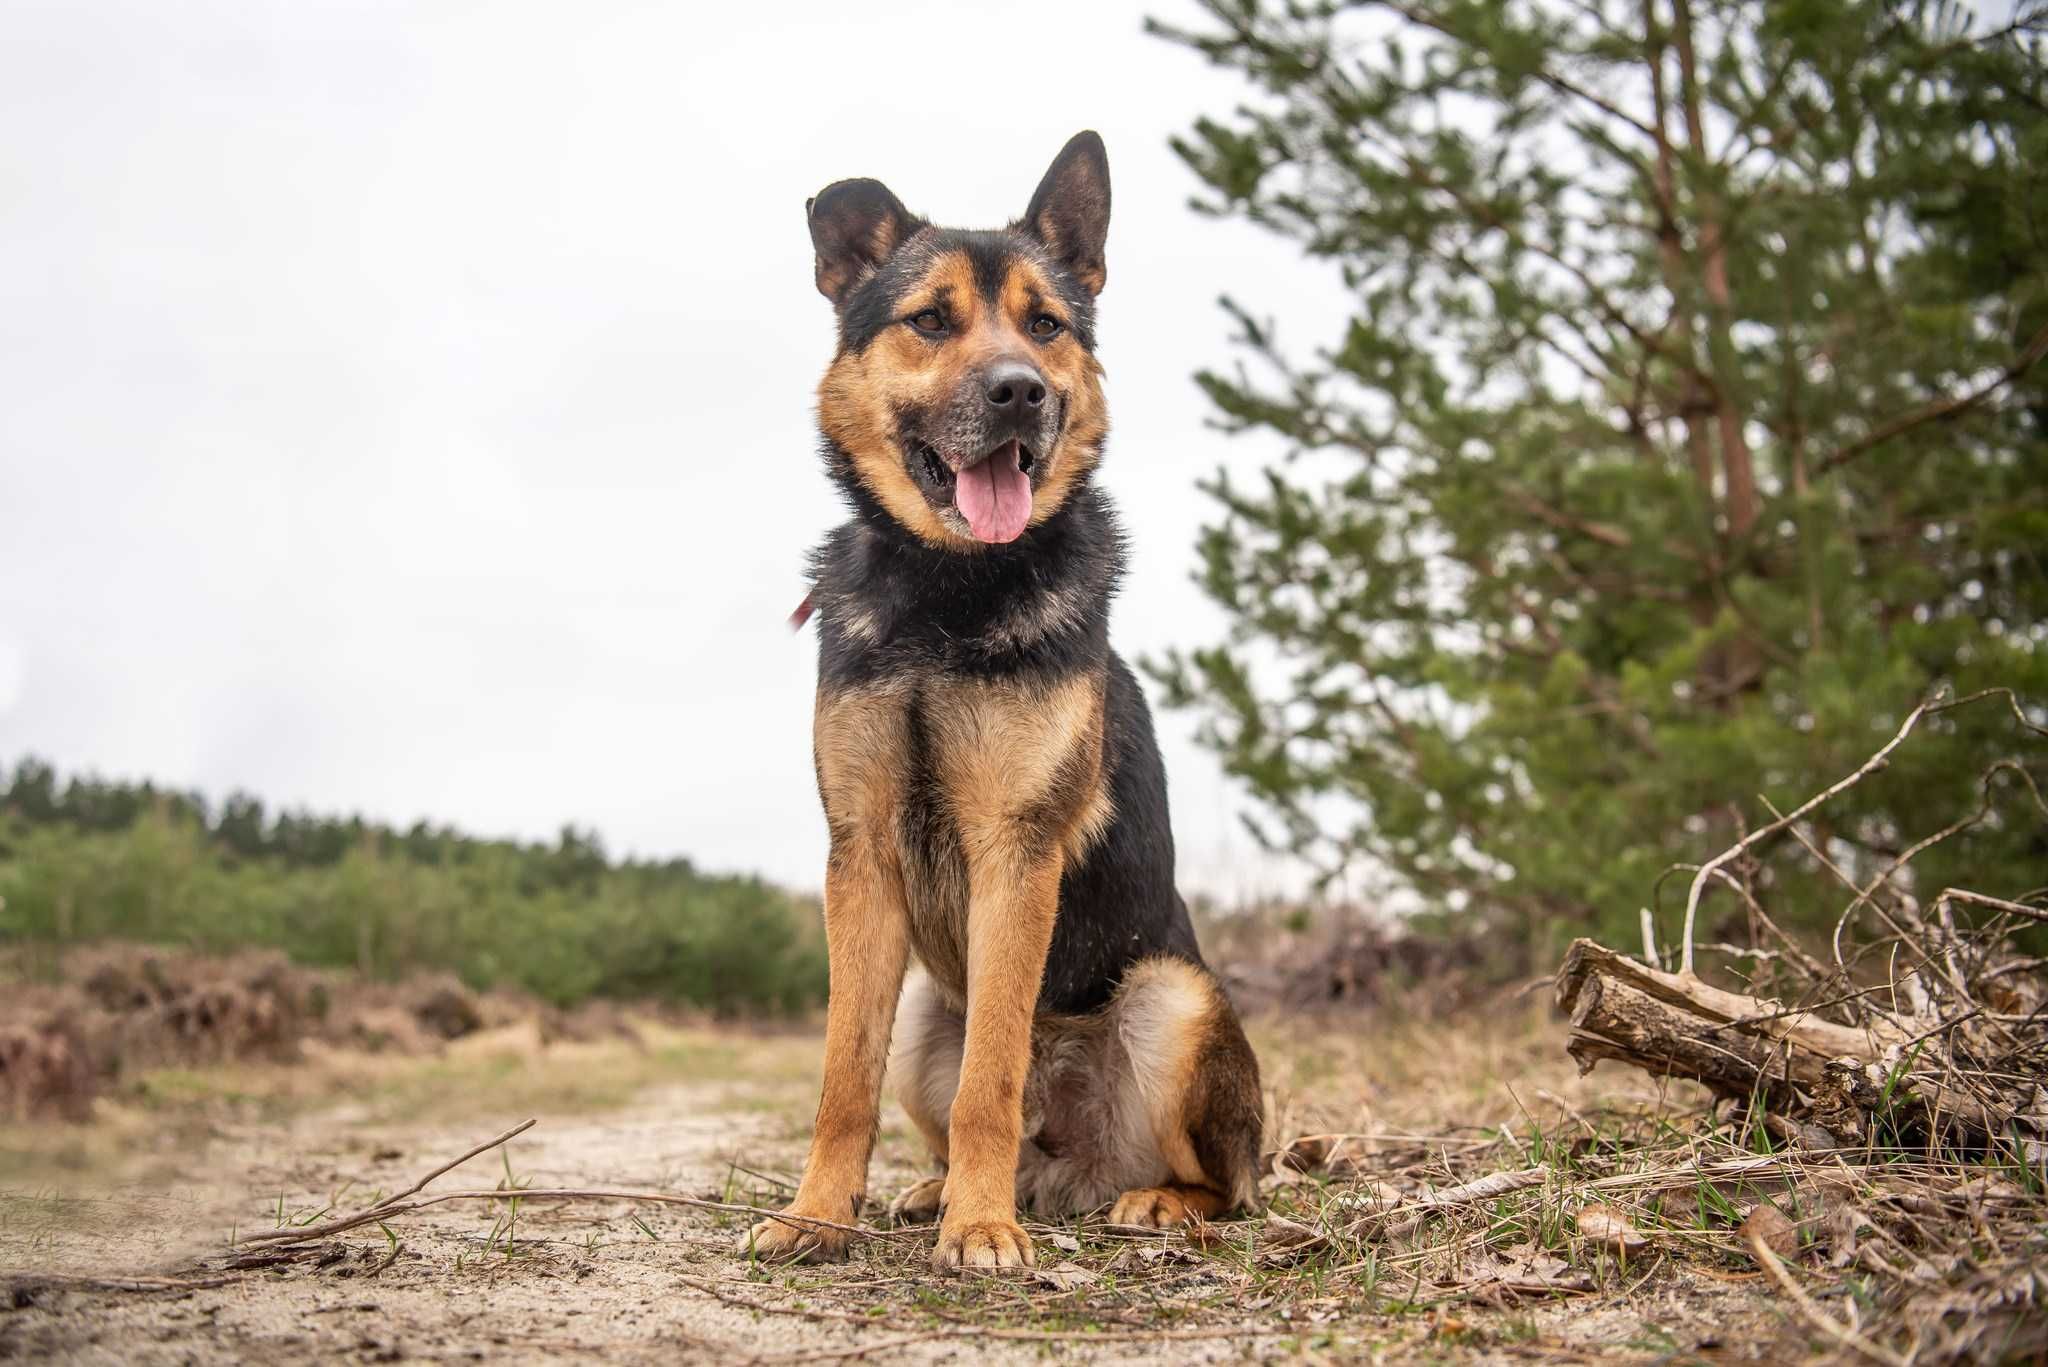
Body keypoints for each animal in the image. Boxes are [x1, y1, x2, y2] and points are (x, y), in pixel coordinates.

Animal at [745, 131, 1261, 1270]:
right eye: (930, 319)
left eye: (1046, 325)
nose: (1020, 392)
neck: (946, 592)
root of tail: (1073, 1167)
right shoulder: (861, 859)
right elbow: (840, 1079)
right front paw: (818, 1213)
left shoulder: (1015, 852)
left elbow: (993, 1076)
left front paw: (981, 1229)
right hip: (920, 1019)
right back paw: (936, 1185)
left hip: (1170, 997)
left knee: (1231, 1183)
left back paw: (1140, 1201)